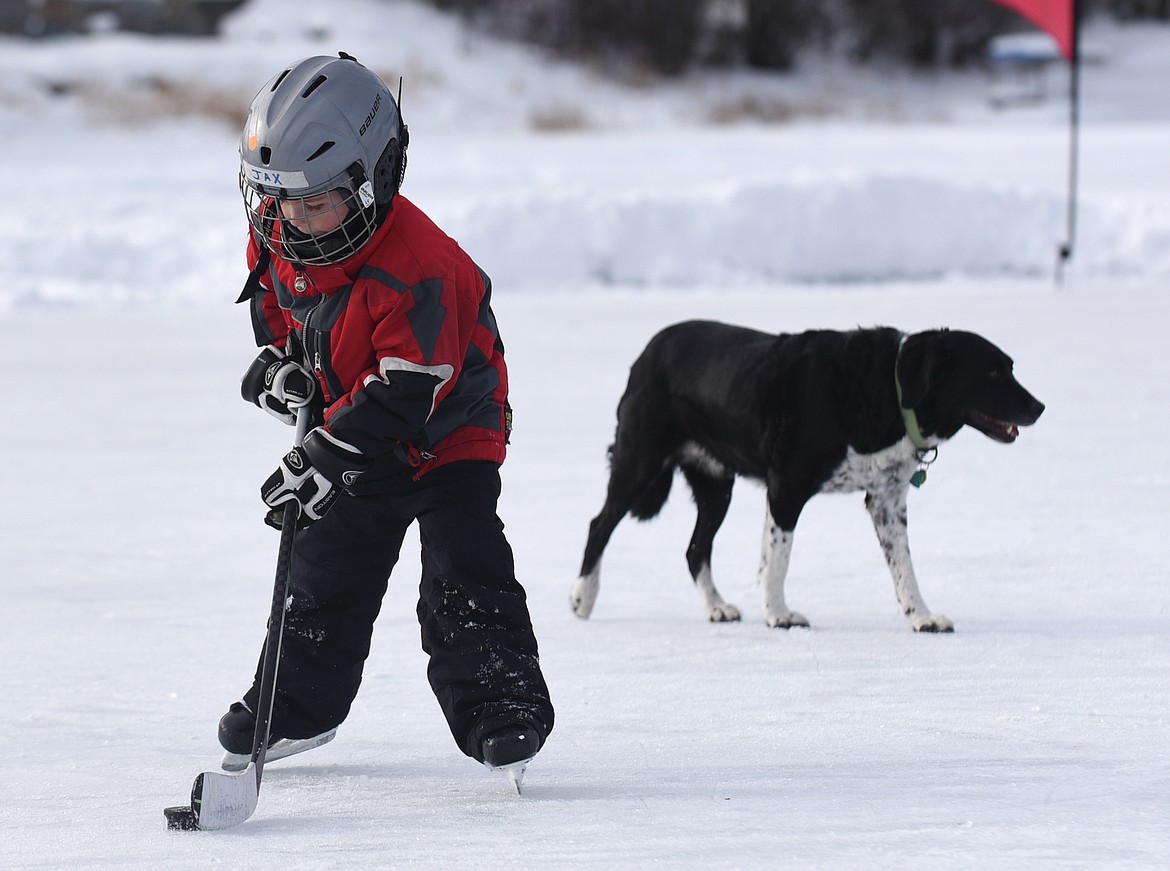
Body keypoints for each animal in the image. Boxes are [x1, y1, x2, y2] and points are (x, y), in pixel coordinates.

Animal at [570, 320, 1048, 632]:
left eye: (1010, 366)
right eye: (993, 371)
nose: (1040, 406)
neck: (888, 391)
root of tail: (650, 347)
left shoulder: (887, 501)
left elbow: (904, 568)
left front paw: (922, 617)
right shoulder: (787, 488)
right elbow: (779, 559)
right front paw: (778, 614)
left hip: (716, 486)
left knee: (695, 549)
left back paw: (716, 607)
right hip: (639, 462)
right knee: (599, 525)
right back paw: (582, 597)